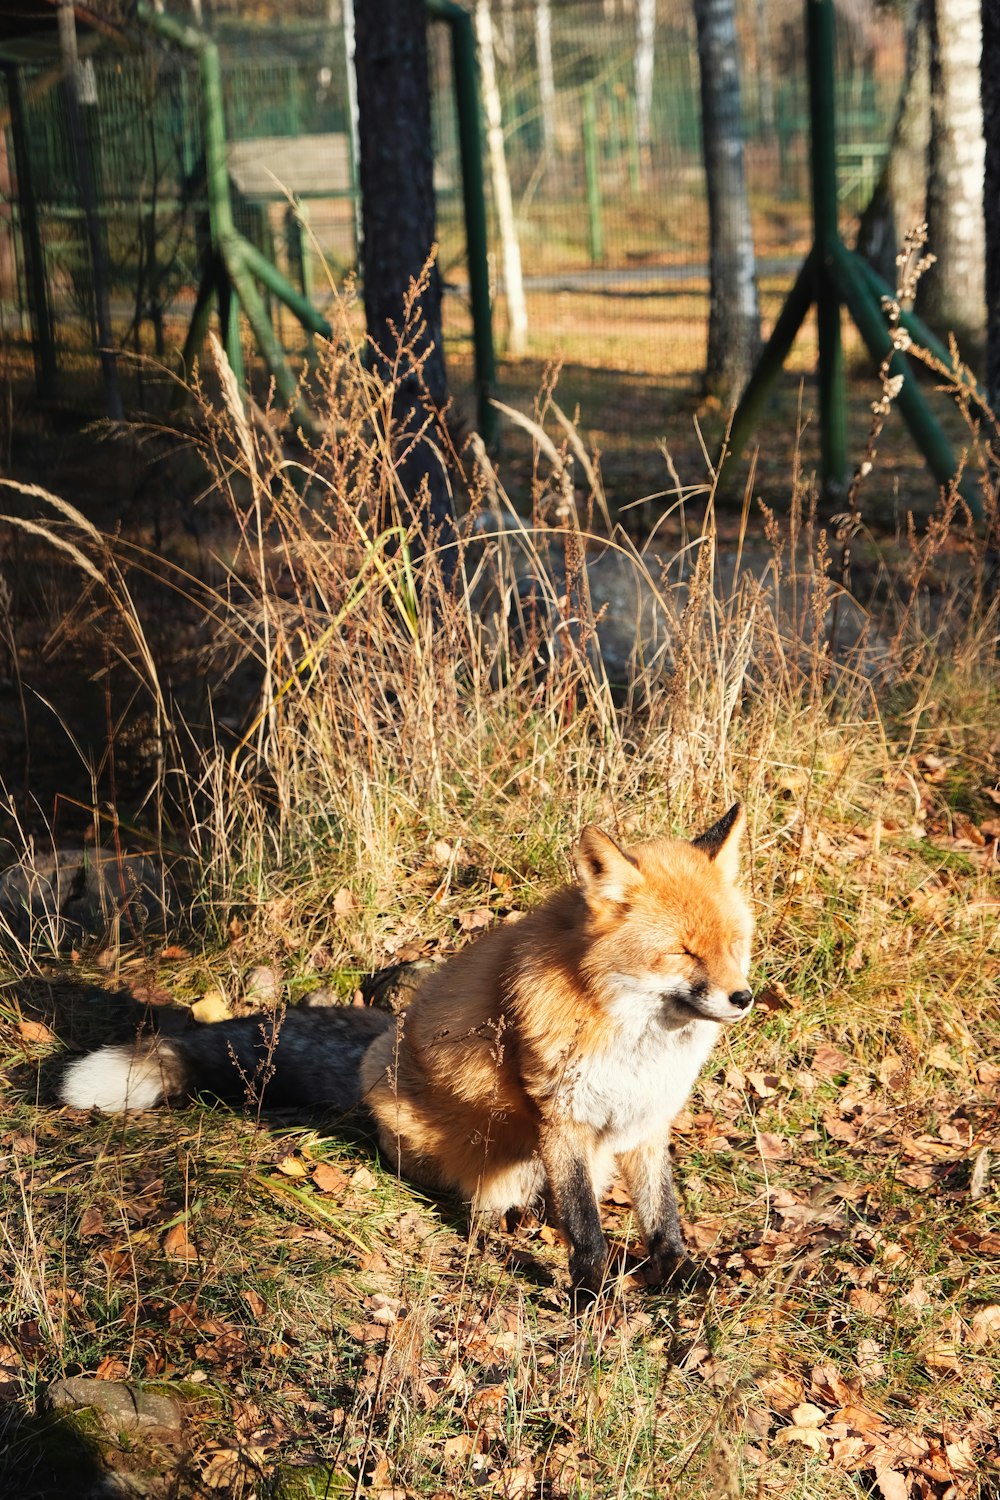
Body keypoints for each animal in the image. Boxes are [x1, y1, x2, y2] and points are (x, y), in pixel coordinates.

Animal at [60, 810, 749, 1290]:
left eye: (734, 944)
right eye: (683, 952)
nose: (743, 998)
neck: (634, 1037)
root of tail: (374, 1047)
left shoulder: (645, 1118)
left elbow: (661, 1212)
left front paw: (677, 1275)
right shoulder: (562, 1119)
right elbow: (583, 1226)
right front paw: (592, 1296)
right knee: (476, 1193)